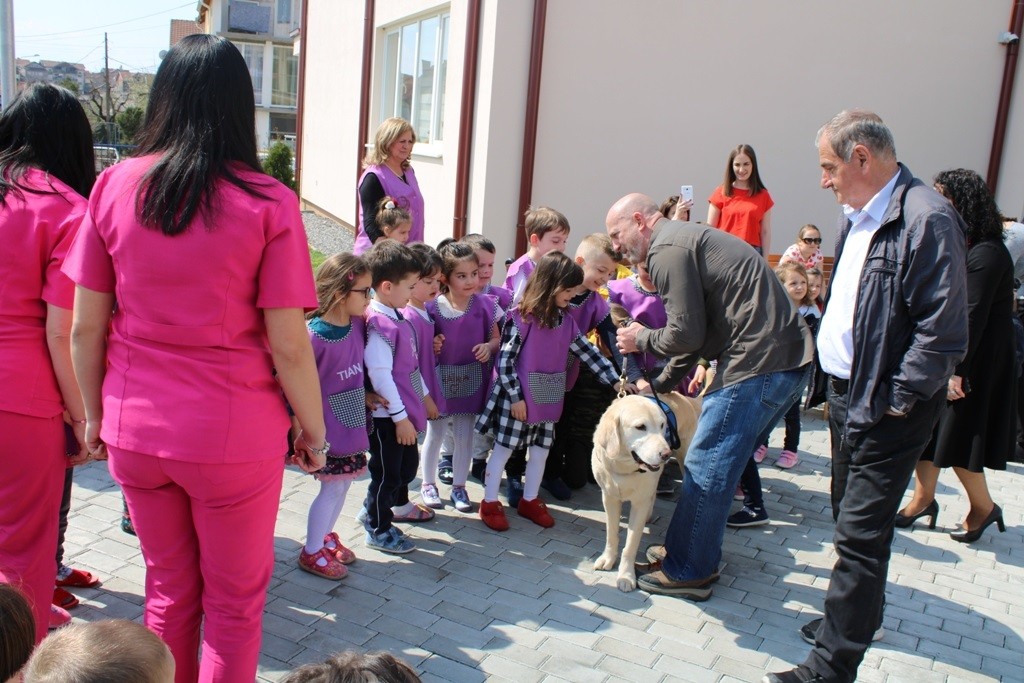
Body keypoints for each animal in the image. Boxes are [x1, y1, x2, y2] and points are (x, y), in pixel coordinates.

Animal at [589, 393, 700, 589]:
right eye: (640, 427)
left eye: (663, 426)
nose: (666, 454)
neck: (625, 466)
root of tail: (686, 398)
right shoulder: (609, 498)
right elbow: (611, 534)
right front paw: (608, 558)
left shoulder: (639, 503)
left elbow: (631, 545)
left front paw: (626, 576)